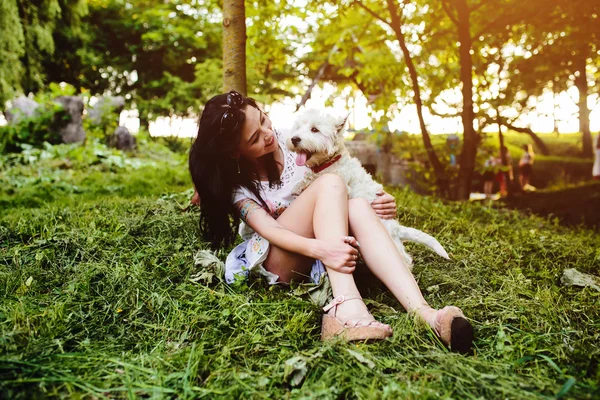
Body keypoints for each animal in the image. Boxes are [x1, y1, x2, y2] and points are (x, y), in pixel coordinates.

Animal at [288, 108, 450, 268]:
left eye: (314, 129)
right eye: (298, 127)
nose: (294, 139)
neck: (329, 162)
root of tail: (396, 228)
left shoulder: (341, 182)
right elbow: (307, 179)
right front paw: (298, 187)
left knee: (405, 259)